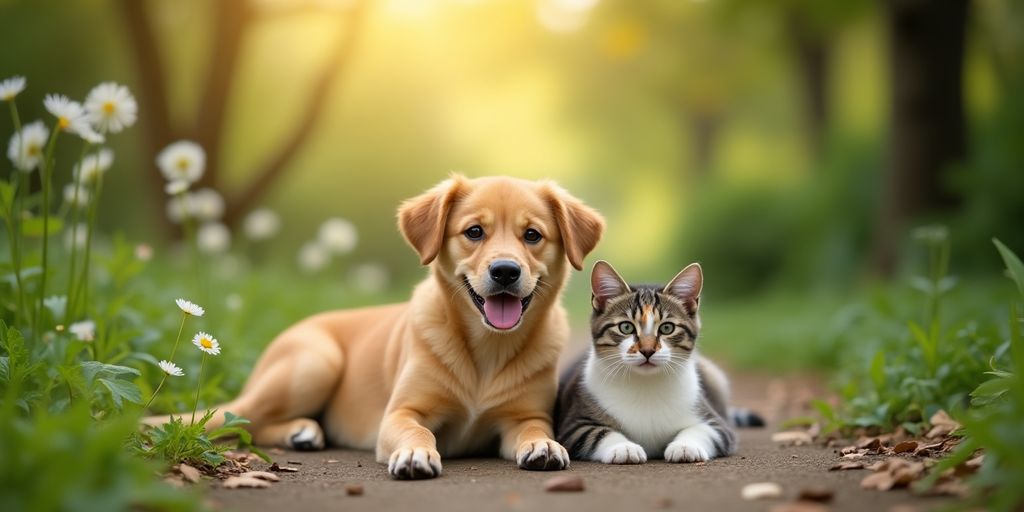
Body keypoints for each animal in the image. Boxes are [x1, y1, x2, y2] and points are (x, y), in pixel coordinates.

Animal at [148, 176, 602, 479]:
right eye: (474, 231)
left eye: (533, 235)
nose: (505, 271)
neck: (487, 349)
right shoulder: (401, 412)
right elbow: (417, 431)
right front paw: (416, 454)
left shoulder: (523, 414)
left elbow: (533, 428)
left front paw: (543, 445)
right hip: (315, 363)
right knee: (239, 418)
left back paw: (303, 431)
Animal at [552, 262, 761, 466]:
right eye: (626, 327)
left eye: (667, 328)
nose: (647, 350)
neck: (646, 385)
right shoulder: (574, 426)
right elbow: (597, 433)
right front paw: (623, 447)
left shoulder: (718, 426)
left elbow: (704, 430)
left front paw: (685, 446)